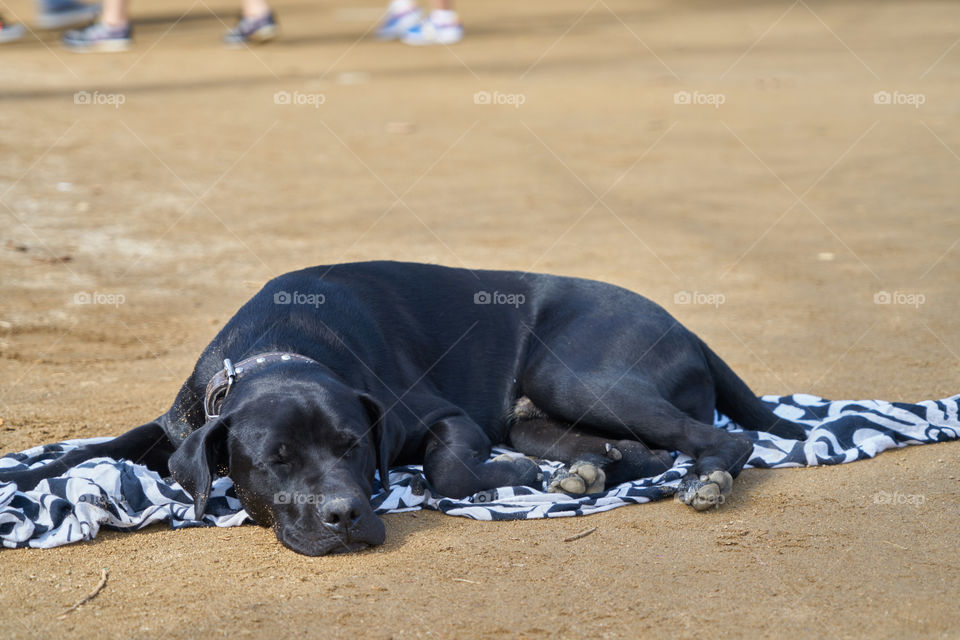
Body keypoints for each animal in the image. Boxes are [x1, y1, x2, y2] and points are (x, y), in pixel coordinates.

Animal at [0, 262, 808, 556]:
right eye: (275, 461)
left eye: (353, 446)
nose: (344, 516)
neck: (280, 348)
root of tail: (687, 325)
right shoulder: (176, 427)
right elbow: (92, 448)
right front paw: (24, 479)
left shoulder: (443, 419)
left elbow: (448, 471)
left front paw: (500, 478)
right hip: (538, 410)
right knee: (641, 451)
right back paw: (588, 470)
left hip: (575, 376)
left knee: (720, 442)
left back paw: (704, 479)